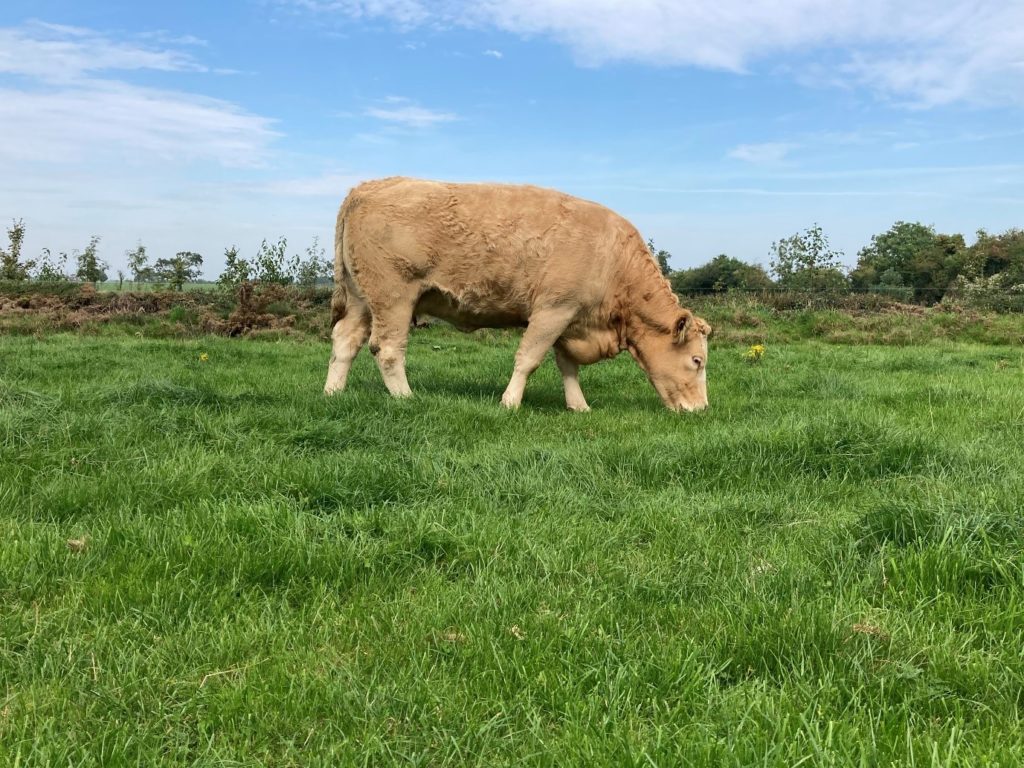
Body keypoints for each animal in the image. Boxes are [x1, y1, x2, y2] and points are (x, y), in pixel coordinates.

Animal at [324, 177, 711, 412]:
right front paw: (509, 402)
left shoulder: (569, 318)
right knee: (387, 348)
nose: (702, 409)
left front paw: (578, 406)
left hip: (361, 299)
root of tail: (367, 187)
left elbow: (567, 366)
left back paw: (333, 392)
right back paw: (407, 397)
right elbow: (529, 358)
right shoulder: (553, 310)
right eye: (697, 361)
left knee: (345, 340)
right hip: (393, 296)